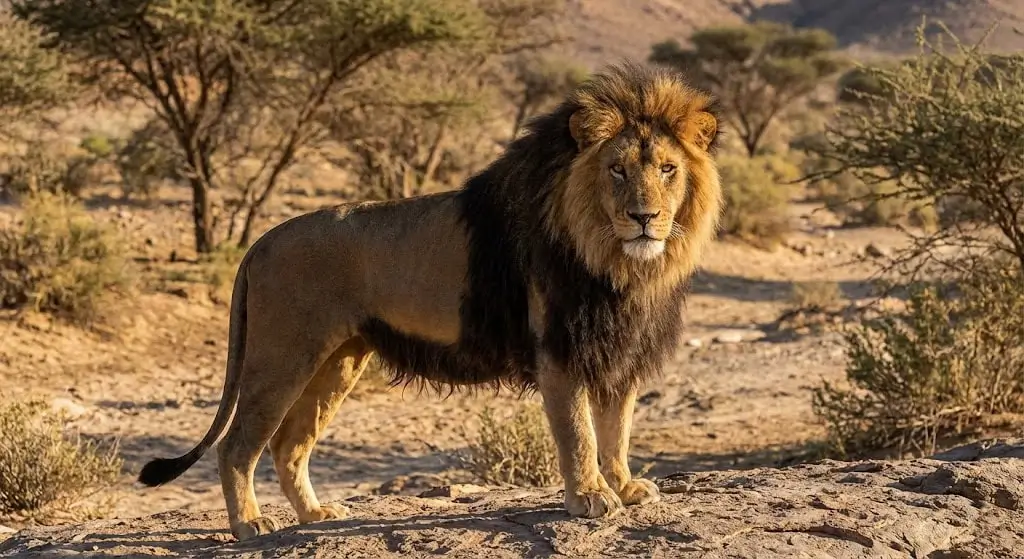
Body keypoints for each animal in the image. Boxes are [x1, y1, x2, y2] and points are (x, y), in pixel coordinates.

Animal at [138, 62, 723, 541]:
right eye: (617, 170)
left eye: (667, 169)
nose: (644, 217)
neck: (620, 264)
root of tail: (260, 241)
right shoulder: (559, 350)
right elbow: (578, 433)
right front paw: (591, 498)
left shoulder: (620, 350)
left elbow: (616, 428)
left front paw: (625, 488)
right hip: (282, 356)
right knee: (238, 444)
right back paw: (250, 525)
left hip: (337, 362)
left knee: (289, 445)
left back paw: (315, 515)